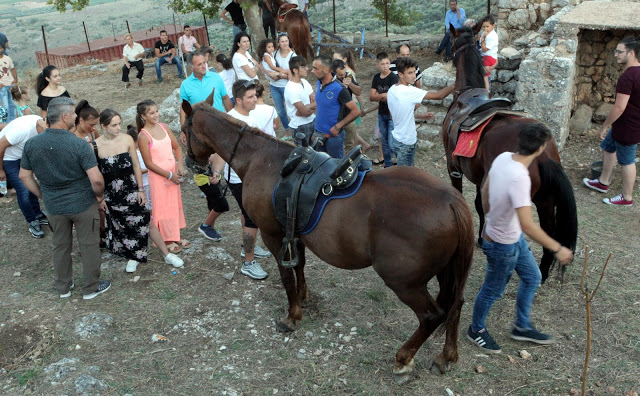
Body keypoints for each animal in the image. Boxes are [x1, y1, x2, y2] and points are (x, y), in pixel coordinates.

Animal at [180, 100, 476, 382]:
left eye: (183, 132)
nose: (191, 164)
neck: (261, 159)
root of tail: (451, 201)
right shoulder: (294, 231)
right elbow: (299, 267)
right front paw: (303, 297)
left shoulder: (272, 234)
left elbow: (286, 275)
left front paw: (292, 316)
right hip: (447, 271)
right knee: (456, 305)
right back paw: (446, 357)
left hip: (404, 283)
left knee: (432, 315)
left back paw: (403, 359)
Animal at [442, 26, 576, 282]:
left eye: (451, 41)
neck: (466, 97)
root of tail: (543, 155)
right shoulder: (480, 178)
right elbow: (478, 204)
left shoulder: (454, 168)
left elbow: (466, 199)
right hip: (545, 200)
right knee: (548, 235)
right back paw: (541, 273)